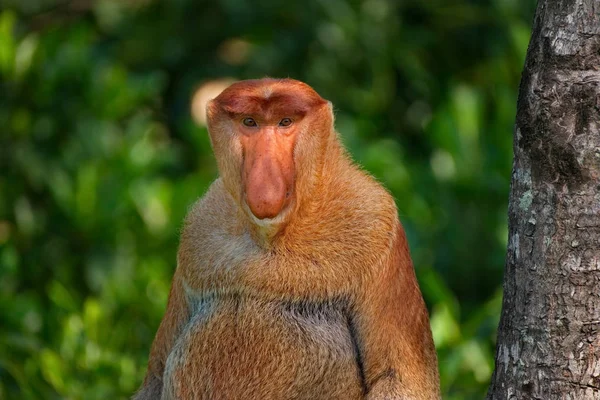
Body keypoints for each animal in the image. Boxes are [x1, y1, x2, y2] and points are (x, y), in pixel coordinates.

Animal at [135, 78, 440, 400]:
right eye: (250, 122)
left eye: (285, 122)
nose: (265, 177)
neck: (272, 236)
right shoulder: (198, 232)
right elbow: (155, 376)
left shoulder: (378, 225)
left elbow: (398, 377)